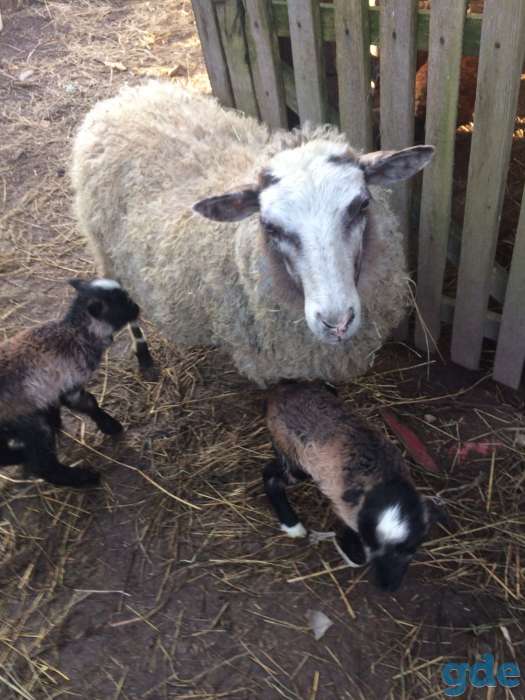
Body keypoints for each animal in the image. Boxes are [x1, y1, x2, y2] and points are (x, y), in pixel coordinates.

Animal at [0, 278, 141, 487]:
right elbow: (88, 403)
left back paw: (20, 456)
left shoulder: (55, 390)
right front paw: (111, 426)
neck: (77, 333)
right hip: (30, 422)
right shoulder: (70, 384)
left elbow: (80, 405)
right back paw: (85, 478)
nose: (138, 308)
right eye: (122, 303)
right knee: (43, 466)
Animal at [71, 80, 434, 387]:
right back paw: (144, 357)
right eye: (270, 226)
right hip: (105, 251)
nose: (337, 324)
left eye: (362, 204)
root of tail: (123, 97)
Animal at [264, 381, 445, 592]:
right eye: (373, 548)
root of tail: (279, 391)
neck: (387, 485)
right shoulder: (348, 513)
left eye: (410, 549)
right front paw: (342, 547)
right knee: (270, 476)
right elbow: (357, 556)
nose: (387, 587)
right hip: (295, 460)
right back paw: (294, 526)